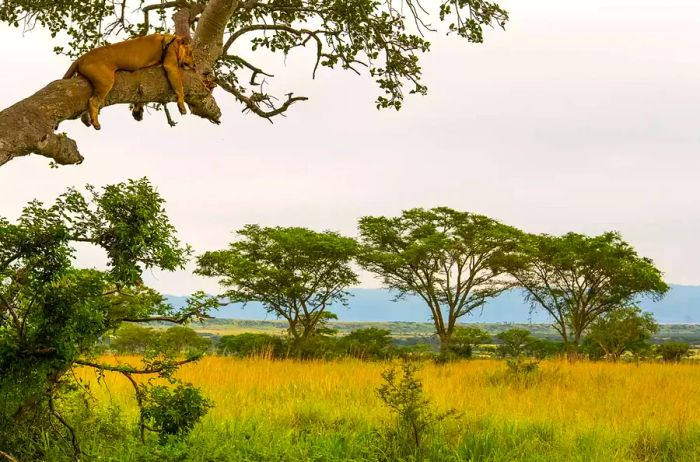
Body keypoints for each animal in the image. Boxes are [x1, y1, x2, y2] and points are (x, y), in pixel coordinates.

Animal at [63, 33, 196, 130]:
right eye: (190, 53)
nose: (195, 65)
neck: (172, 40)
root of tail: (81, 58)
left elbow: (141, 97)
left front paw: (137, 112)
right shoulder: (170, 65)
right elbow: (179, 87)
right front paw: (182, 105)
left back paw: (86, 119)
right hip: (106, 81)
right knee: (93, 101)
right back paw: (95, 123)